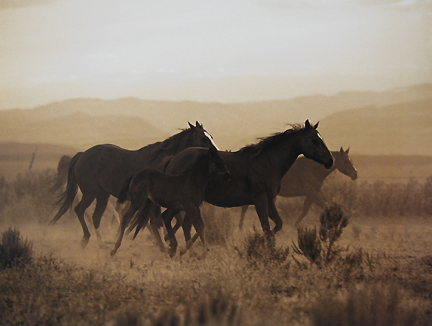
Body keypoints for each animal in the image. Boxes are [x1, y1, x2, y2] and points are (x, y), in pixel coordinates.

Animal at [50, 121, 219, 248]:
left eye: (211, 136)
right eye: (203, 138)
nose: (217, 154)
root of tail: (81, 155)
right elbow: (155, 221)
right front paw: (163, 242)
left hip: (102, 195)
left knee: (95, 216)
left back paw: (102, 243)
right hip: (90, 193)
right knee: (80, 210)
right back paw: (86, 239)